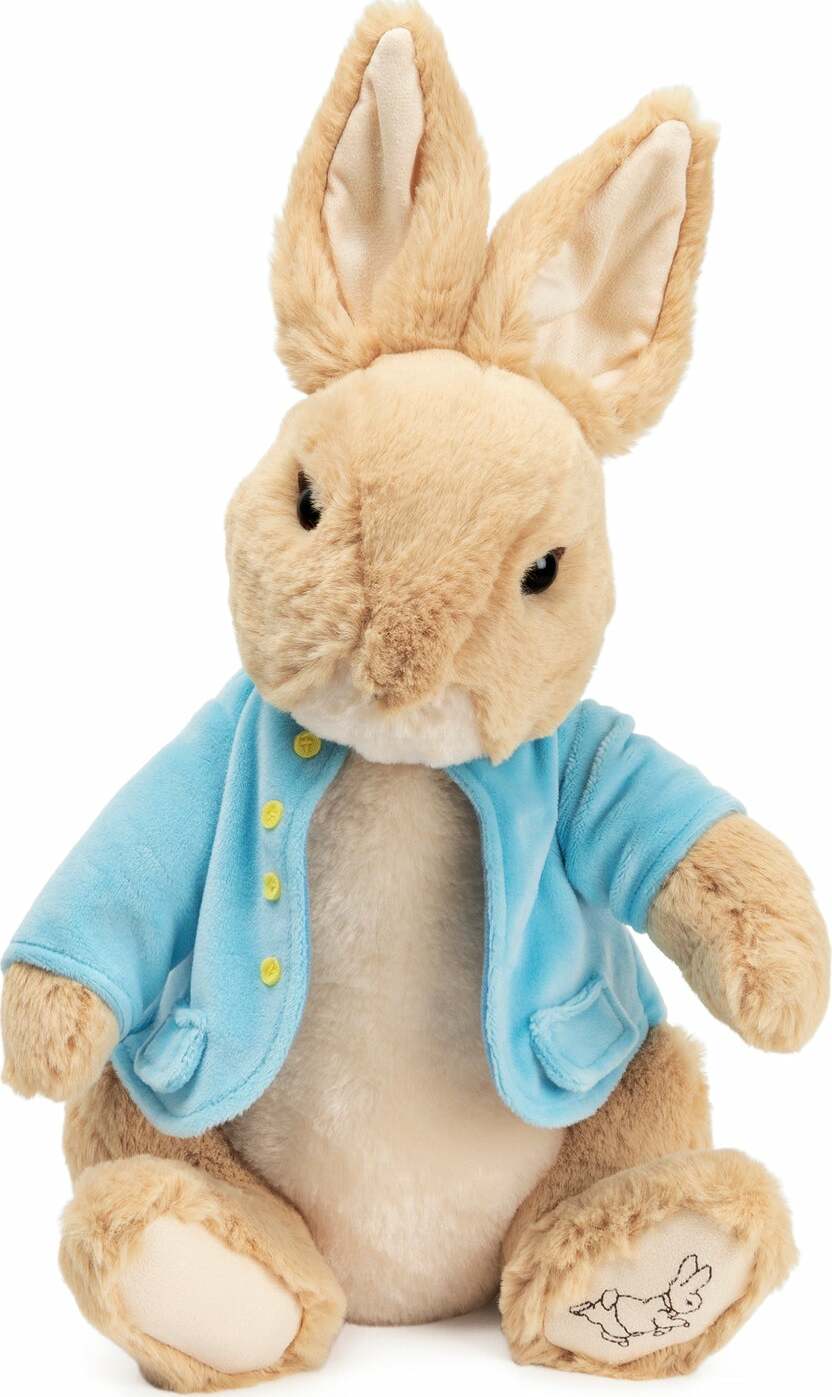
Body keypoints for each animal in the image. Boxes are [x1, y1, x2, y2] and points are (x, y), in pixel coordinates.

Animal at [571, 1254, 713, 1346]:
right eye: (689, 1302)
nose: (698, 1304)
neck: (668, 1302)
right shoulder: (660, 1317)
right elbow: (669, 1322)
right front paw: (683, 1322)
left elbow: (666, 1327)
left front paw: (659, 1332)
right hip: (613, 1323)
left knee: (604, 1333)